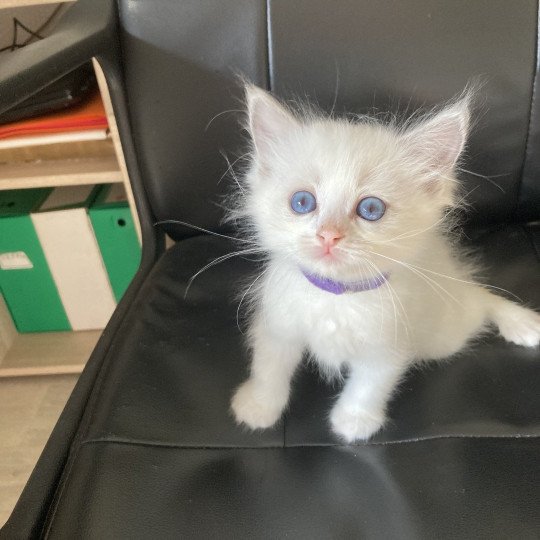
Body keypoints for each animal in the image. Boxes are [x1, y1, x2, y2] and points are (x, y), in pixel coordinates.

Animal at [229, 86, 540, 442]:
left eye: (371, 209)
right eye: (302, 202)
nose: (328, 236)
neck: (336, 295)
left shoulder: (389, 344)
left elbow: (370, 385)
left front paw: (353, 421)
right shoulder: (276, 325)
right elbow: (269, 367)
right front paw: (258, 406)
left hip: (445, 335)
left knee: (478, 297)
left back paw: (520, 322)